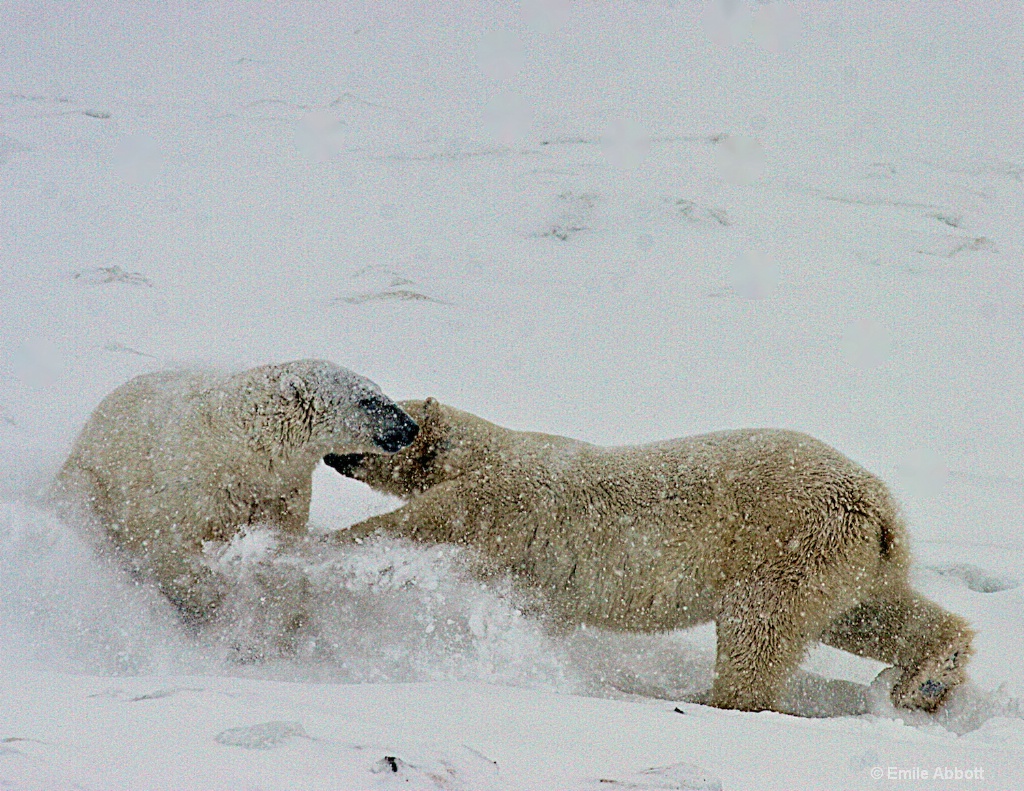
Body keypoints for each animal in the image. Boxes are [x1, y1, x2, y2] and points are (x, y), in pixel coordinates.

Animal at [54, 360, 415, 622]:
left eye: (379, 390)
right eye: (367, 400)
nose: (410, 427)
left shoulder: (282, 492)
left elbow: (280, 547)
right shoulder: (195, 489)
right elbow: (177, 552)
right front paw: (206, 608)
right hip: (89, 480)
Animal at [327, 399, 974, 713]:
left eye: (379, 408)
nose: (330, 455)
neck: (483, 452)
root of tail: (878, 508)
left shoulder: (506, 502)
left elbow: (425, 526)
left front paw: (331, 546)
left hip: (788, 539)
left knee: (759, 627)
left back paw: (717, 700)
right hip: (851, 559)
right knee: (871, 615)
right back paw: (929, 680)